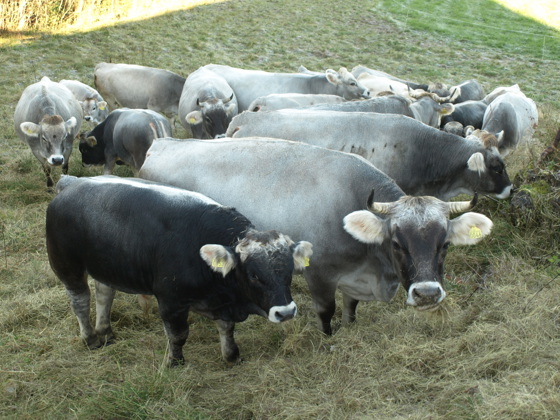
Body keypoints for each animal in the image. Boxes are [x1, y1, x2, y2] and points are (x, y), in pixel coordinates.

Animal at [46, 174, 312, 364]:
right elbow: (178, 334)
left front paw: (232, 356)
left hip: (106, 265)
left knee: (104, 294)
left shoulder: (221, 304)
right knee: (80, 301)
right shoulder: (170, 301)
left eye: (289, 271)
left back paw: (106, 332)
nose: (286, 312)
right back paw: (91, 338)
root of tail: (73, 182)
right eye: (254, 275)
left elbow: (227, 329)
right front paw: (174, 362)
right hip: (66, 265)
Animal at [140, 138, 494, 334]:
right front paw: (329, 339)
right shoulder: (320, 274)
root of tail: (164, 144)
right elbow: (327, 312)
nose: (427, 294)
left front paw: (351, 327)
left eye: (445, 244)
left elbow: (351, 306)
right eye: (396, 243)